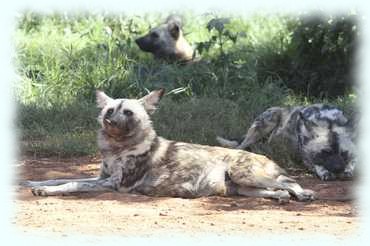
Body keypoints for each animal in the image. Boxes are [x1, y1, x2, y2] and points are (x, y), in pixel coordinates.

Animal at [21, 89, 314, 203]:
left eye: (128, 112)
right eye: (109, 111)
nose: (111, 121)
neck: (117, 148)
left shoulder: (111, 184)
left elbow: (71, 183)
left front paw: (47, 192)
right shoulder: (100, 176)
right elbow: (58, 177)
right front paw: (33, 184)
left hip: (247, 175)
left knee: (291, 183)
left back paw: (304, 194)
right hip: (243, 187)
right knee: (279, 190)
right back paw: (282, 198)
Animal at [217, 104, 356, 181]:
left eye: (343, 153)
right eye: (325, 153)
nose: (338, 168)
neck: (328, 121)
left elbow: (352, 164)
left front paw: (347, 170)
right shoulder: (307, 157)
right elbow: (317, 165)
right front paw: (325, 172)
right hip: (265, 124)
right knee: (241, 146)